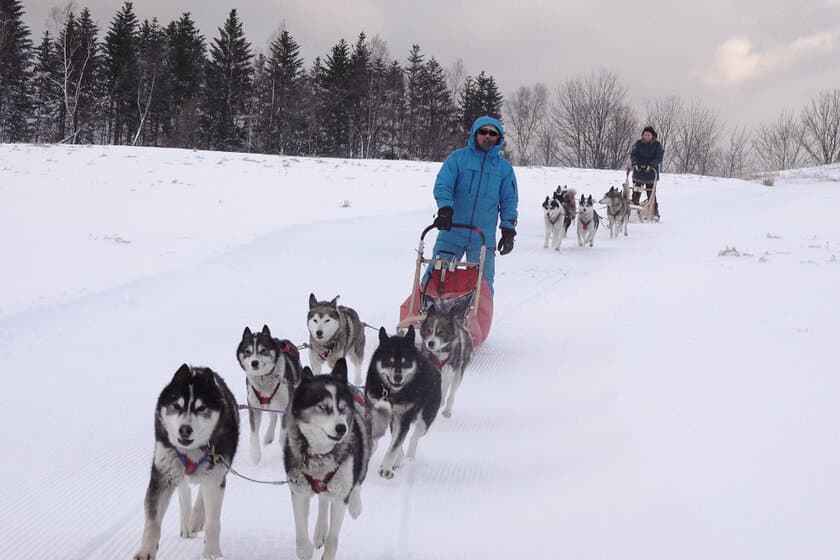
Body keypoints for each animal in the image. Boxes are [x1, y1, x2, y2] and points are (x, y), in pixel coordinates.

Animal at [135, 366, 240, 556]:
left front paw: (212, 554)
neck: (192, 451)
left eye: (201, 408)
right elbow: (152, 522)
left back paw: (196, 519)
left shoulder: (216, 478)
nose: (185, 429)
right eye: (177, 406)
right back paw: (187, 523)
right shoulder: (163, 475)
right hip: (176, 471)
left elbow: (213, 522)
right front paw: (146, 552)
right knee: (184, 493)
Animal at [236, 324, 302, 464]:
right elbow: (254, 434)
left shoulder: (285, 407)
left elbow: (283, 432)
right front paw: (255, 455)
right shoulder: (254, 408)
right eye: (247, 351)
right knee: (273, 417)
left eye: (263, 350)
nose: (254, 362)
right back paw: (268, 437)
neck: (264, 379)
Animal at [286, 358, 370, 560]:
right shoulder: (298, 492)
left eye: (342, 408)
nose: (342, 428)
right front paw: (305, 550)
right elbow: (301, 533)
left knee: (358, 479)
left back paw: (355, 506)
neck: (321, 455)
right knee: (324, 501)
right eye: (323, 407)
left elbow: (333, 538)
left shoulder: (340, 497)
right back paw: (319, 532)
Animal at [366, 326, 442, 480]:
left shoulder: (404, 418)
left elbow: (394, 446)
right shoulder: (375, 410)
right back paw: (398, 459)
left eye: (405, 362)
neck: (391, 393)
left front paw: (387, 469)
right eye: (389, 361)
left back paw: (408, 457)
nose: (398, 377)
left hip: (424, 420)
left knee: (414, 437)